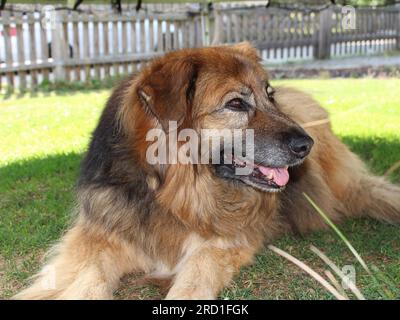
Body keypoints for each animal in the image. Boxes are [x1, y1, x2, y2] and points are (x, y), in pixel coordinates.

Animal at [15, 43, 400, 300]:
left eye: (269, 95)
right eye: (236, 104)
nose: (307, 144)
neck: (170, 192)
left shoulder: (220, 244)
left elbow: (191, 282)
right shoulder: (98, 236)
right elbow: (88, 278)